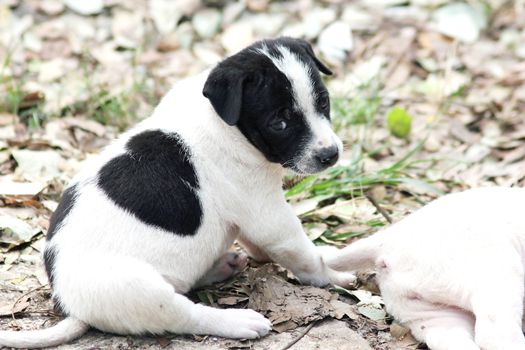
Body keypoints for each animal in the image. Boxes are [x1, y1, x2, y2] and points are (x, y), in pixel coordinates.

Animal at [0, 37, 354, 348]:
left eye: (323, 101)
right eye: (279, 123)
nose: (330, 154)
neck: (222, 120)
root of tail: (69, 303)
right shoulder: (268, 216)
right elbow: (305, 257)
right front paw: (334, 276)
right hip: (141, 290)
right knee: (186, 315)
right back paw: (238, 321)